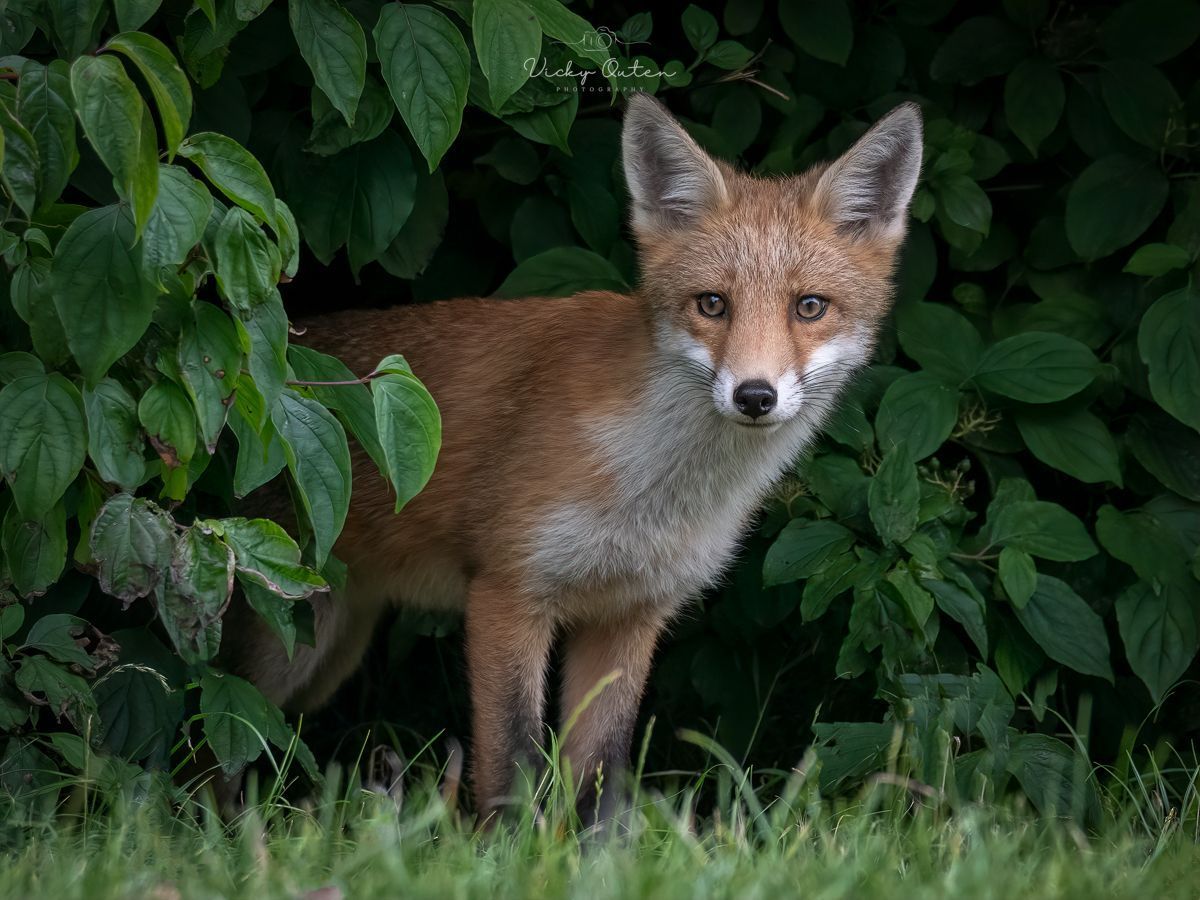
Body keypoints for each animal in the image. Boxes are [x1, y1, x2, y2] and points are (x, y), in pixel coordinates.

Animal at [222, 93, 923, 822]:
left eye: (809, 306)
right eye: (712, 304)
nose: (755, 395)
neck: (649, 487)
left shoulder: (629, 616)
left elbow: (599, 780)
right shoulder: (507, 592)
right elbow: (513, 762)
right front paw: (507, 843)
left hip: (332, 652)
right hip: (282, 648)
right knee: (222, 740)